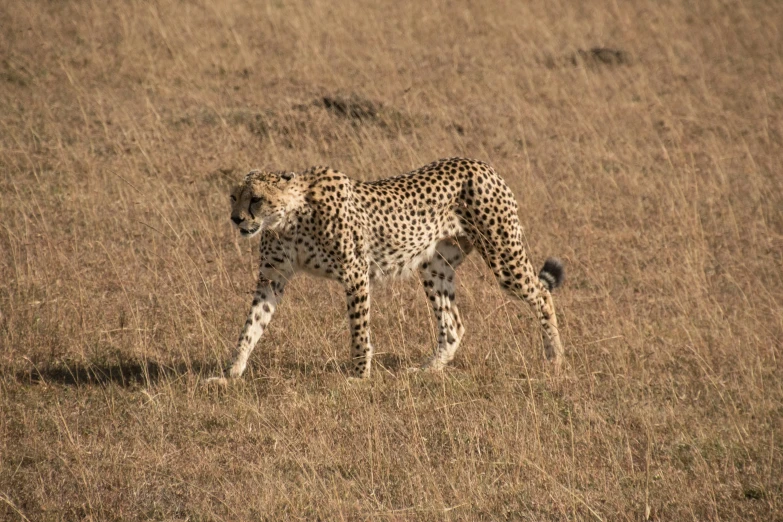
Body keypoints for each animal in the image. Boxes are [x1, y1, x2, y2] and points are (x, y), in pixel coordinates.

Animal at [213, 156, 564, 380]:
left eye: (256, 199)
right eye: (233, 197)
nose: (236, 219)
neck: (288, 219)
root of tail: (480, 164)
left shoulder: (355, 272)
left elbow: (359, 329)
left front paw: (358, 376)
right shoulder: (272, 277)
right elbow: (252, 325)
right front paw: (231, 373)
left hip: (503, 257)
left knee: (542, 293)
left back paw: (555, 358)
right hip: (434, 267)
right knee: (454, 324)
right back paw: (428, 370)